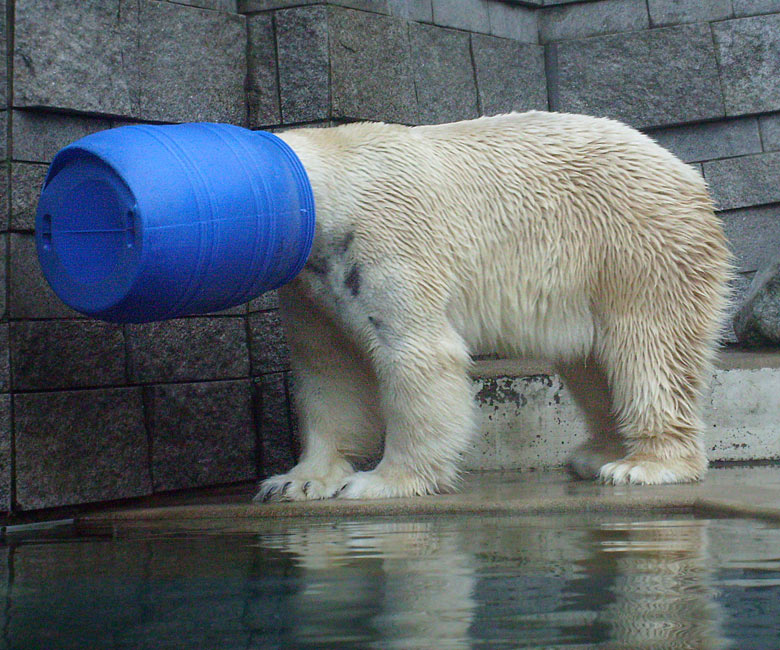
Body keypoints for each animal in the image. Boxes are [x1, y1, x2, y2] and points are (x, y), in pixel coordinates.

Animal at [256, 111, 732, 502]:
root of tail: (690, 176)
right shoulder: (312, 285)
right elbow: (329, 370)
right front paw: (297, 480)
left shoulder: (387, 240)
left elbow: (419, 356)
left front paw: (382, 481)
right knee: (591, 364)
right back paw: (597, 454)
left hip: (637, 246)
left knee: (650, 350)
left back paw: (645, 465)